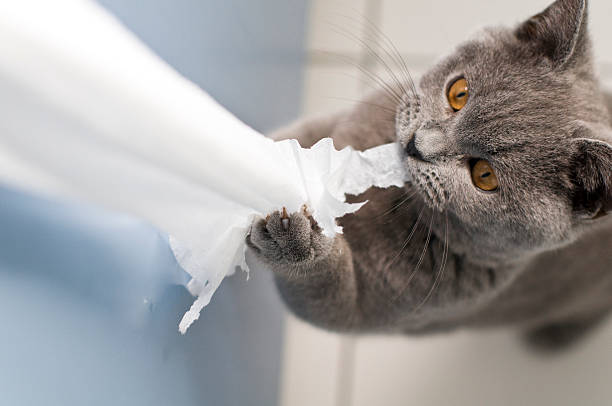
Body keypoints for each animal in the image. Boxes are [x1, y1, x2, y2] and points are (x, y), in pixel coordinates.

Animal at [245, 0, 612, 348]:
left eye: (485, 176)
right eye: (458, 93)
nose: (417, 145)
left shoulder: (375, 308)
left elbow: (326, 288)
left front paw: (292, 238)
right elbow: (293, 140)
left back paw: (554, 337)